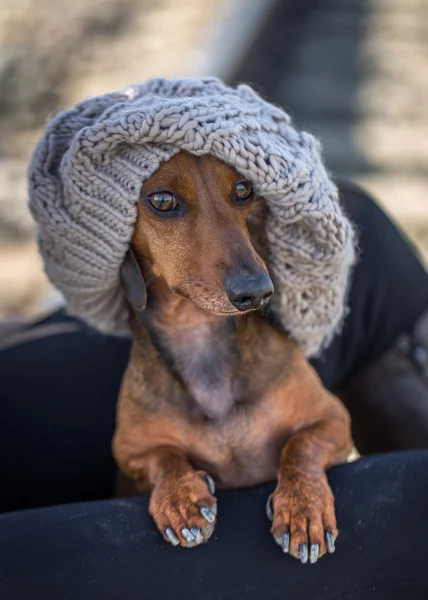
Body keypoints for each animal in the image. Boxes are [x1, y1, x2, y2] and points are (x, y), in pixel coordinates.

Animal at [112, 150, 352, 564]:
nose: (257, 292)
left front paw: (303, 507)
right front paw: (180, 497)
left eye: (243, 190)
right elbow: (163, 457)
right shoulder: (128, 451)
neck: (197, 336)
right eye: (162, 200)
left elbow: (300, 446)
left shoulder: (334, 420)